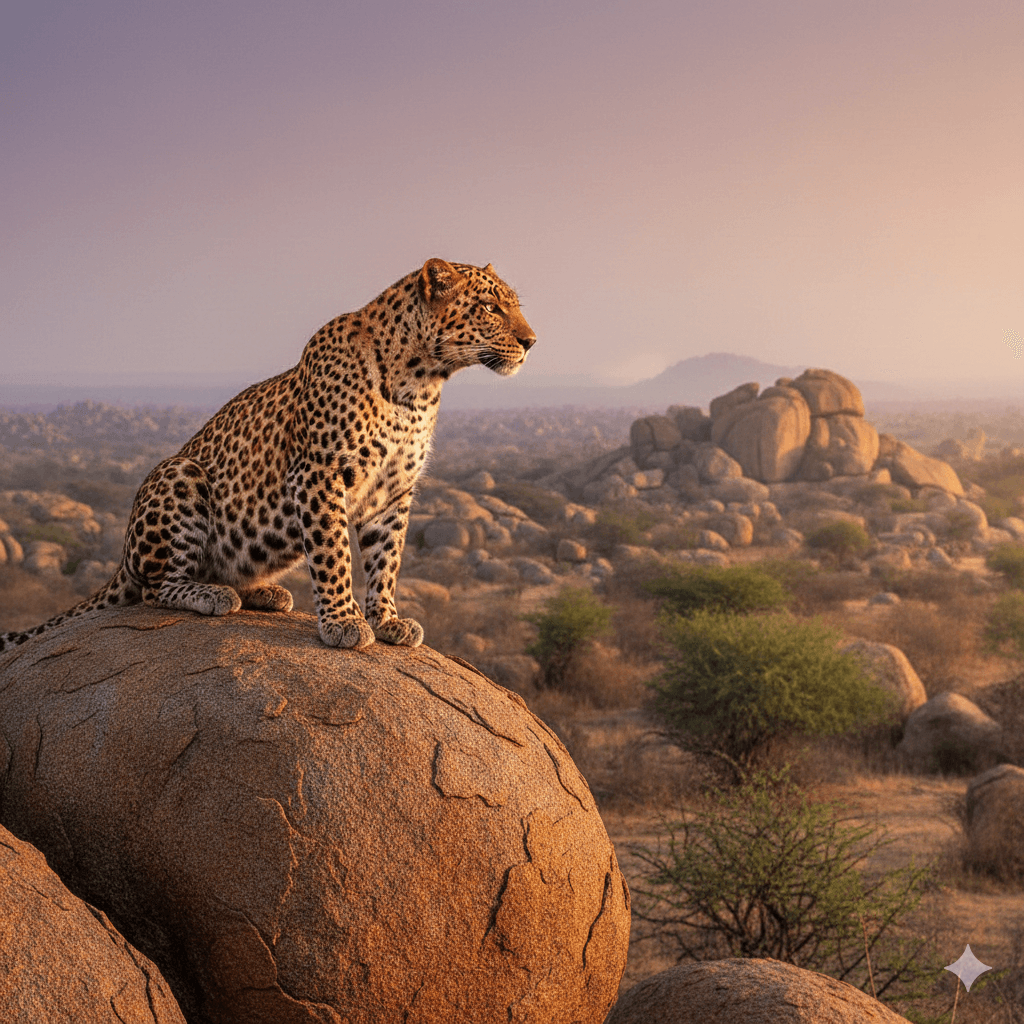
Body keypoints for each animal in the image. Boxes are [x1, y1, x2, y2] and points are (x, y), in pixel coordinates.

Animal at [0, 258, 535, 652]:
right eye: (489, 307)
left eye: (512, 306)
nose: (531, 342)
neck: (420, 385)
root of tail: (121, 560)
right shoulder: (319, 473)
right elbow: (333, 552)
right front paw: (343, 622)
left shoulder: (393, 492)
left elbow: (387, 559)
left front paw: (388, 620)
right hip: (180, 473)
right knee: (156, 588)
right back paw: (212, 594)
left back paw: (262, 591)